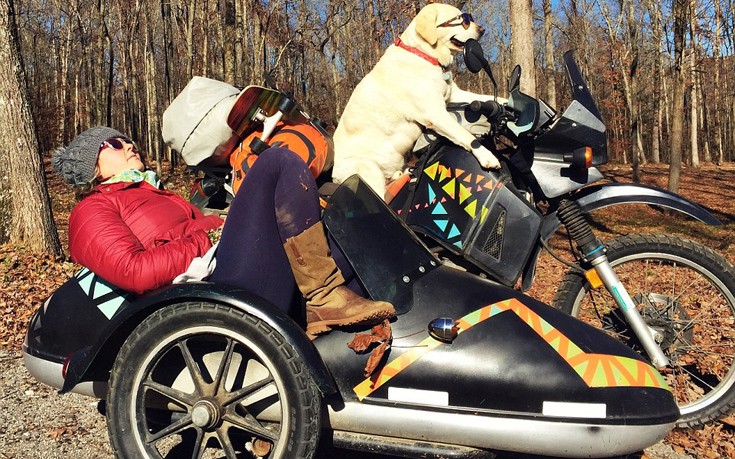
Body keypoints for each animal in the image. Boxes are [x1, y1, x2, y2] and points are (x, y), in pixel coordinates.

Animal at [332, 2, 500, 199]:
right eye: (460, 20)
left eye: (467, 18)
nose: (482, 29)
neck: (424, 54)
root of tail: (334, 176)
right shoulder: (435, 114)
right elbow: (464, 135)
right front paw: (487, 156)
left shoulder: (454, 95)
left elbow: (489, 99)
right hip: (369, 171)